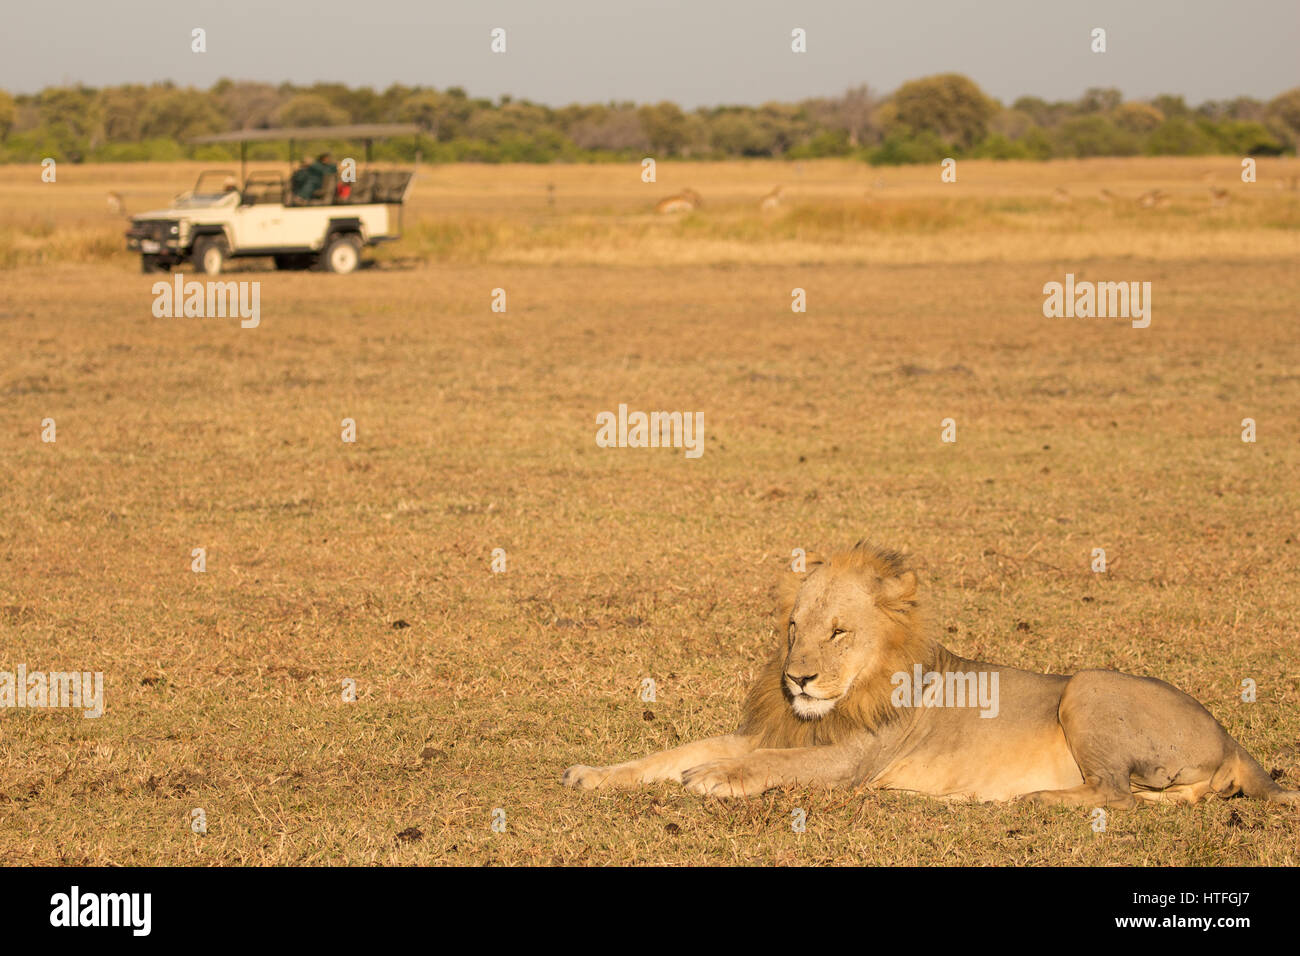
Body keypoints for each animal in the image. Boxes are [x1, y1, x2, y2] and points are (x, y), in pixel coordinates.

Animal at [564, 541, 1294, 806]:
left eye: (839, 632)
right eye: (795, 627)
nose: (798, 681)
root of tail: (1232, 738)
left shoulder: (852, 761)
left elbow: (767, 765)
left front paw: (715, 778)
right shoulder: (782, 729)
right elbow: (672, 752)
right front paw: (592, 774)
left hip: (1088, 684)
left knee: (1114, 793)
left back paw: (1024, 798)